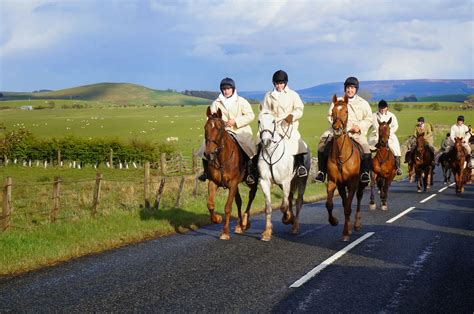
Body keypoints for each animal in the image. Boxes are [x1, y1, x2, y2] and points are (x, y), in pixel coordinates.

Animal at [202, 106, 258, 239]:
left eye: (219, 128)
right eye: (205, 127)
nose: (208, 154)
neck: (222, 159)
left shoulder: (232, 184)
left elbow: (228, 207)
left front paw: (225, 232)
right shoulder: (214, 182)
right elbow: (210, 204)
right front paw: (217, 219)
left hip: (252, 182)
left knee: (251, 197)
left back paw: (245, 223)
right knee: (239, 201)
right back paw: (239, 226)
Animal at [258, 109, 310, 242]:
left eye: (273, 121)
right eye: (259, 121)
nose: (266, 141)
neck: (271, 152)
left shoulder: (285, 181)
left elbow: (283, 207)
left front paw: (287, 218)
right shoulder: (264, 182)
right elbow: (268, 208)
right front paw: (267, 232)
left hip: (301, 180)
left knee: (298, 201)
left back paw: (295, 226)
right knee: (290, 198)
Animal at [324, 94, 368, 242]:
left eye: (346, 111)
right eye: (332, 112)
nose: (336, 129)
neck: (341, 157)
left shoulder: (353, 183)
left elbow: (348, 207)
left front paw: (345, 232)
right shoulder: (335, 182)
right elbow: (330, 204)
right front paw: (334, 222)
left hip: (361, 184)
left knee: (359, 198)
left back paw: (357, 224)